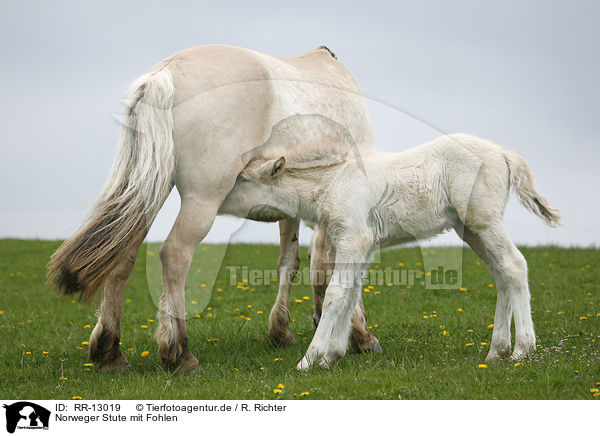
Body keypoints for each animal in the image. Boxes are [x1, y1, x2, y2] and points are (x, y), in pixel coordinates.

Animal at [49, 45, 382, 372]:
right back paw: (179, 353)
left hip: (148, 192)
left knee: (121, 257)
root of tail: (165, 72)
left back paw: (110, 353)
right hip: (203, 201)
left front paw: (281, 331)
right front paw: (361, 335)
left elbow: (290, 261)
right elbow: (334, 264)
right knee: (175, 254)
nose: (315, 320)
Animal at [221, 134, 564, 372]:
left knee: (514, 265)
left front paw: (310, 359)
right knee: (501, 273)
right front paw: (333, 356)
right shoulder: (360, 246)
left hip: (484, 221)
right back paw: (496, 351)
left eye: (244, 179)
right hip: (470, 229)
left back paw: (522, 350)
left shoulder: (354, 239)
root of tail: (505, 154)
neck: (332, 181)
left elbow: (335, 294)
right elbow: (350, 295)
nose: (219, 198)